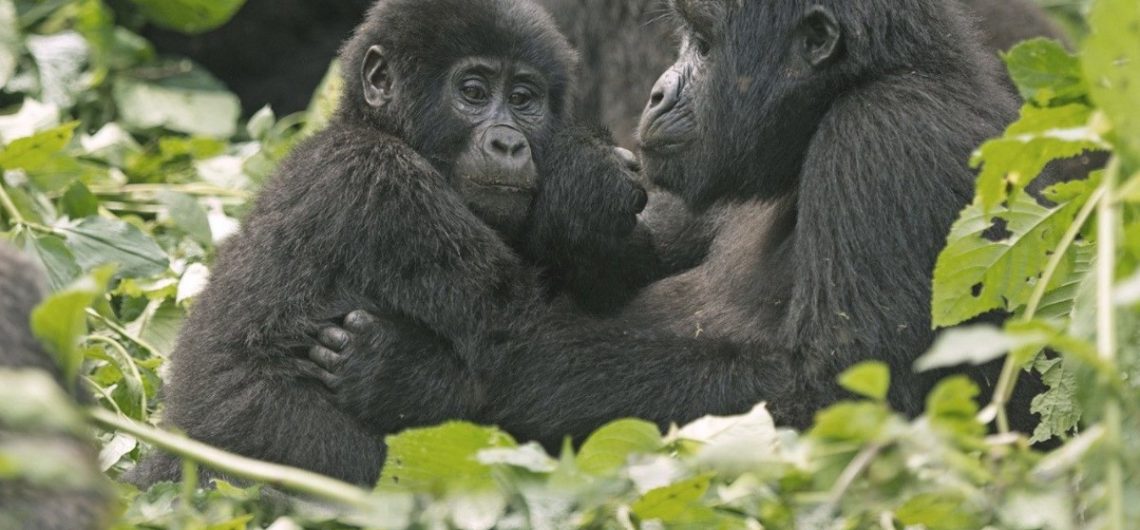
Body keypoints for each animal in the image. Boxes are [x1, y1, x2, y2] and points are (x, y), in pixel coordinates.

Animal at [129, 0, 647, 487]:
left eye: (523, 98)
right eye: (473, 92)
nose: (508, 144)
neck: (379, 127)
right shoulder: (383, 183)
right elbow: (522, 336)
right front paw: (588, 180)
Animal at [316, 0, 1044, 446]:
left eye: (705, 41)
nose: (660, 90)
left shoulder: (889, 132)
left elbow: (833, 405)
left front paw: (430, 376)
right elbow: (625, 265)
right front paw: (580, 191)